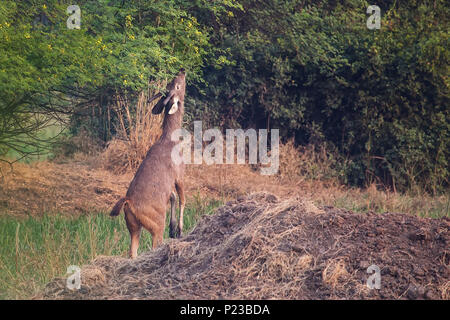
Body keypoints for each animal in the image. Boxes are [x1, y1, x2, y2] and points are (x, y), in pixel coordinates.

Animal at [110, 69, 186, 258]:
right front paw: (179, 230)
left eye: (171, 83)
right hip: (155, 222)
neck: (171, 139)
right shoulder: (179, 173)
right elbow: (182, 199)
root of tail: (128, 203)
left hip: (132, 225)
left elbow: (172, 196)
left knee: (132, 252)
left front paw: (173, 228)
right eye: (177, 86)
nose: (182, 71)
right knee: (154, 243)